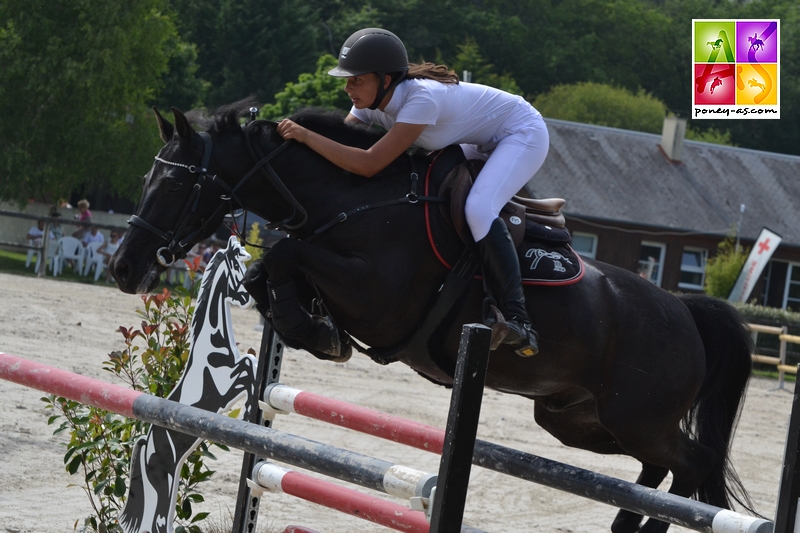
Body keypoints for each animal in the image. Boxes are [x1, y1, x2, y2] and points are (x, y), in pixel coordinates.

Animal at [108, 100, 756, 532]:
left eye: (173, 184)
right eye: (145, 177)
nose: (122, 266)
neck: (354, 197)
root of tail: (684, 310)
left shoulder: (380, 297)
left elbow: (287, 253)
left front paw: (316, 328)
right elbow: (271, 271)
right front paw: (310, 327)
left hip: (634, 416)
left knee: (693, 464)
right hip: (576, 420)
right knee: (655, 469)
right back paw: (628, 525)